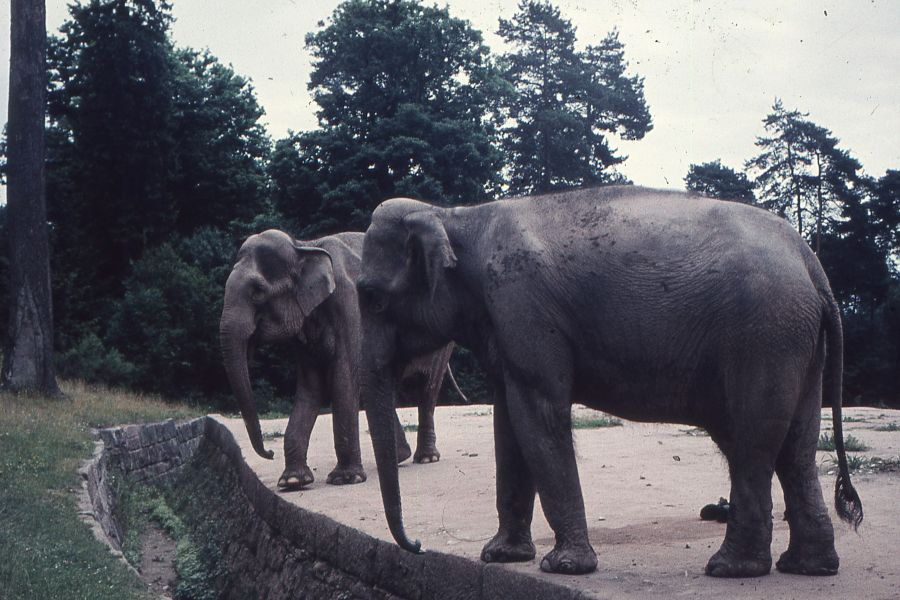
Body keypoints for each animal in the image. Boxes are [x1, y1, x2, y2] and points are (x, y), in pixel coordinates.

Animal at [219, 229, 462, 490]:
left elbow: (344, 378)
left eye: (257, 292)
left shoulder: (350, 305)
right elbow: (311, 388)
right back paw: (400, 457)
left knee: (427, 388)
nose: (269, 453)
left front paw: (346, 479)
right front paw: (293, 481)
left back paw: (426, 458)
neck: (303, 246)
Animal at [355, 186, 863, 577]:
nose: (417, 545)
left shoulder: (522, 306)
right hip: (793, 340)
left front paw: (564, 567)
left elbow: (538, 415)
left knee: (753, 440)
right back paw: (808, 567)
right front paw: (501, 557)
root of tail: (811, 264)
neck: (456, 216)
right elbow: (508, 425)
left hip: (762, 335)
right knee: (794, 446)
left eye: (371, 297)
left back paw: (730, 569)